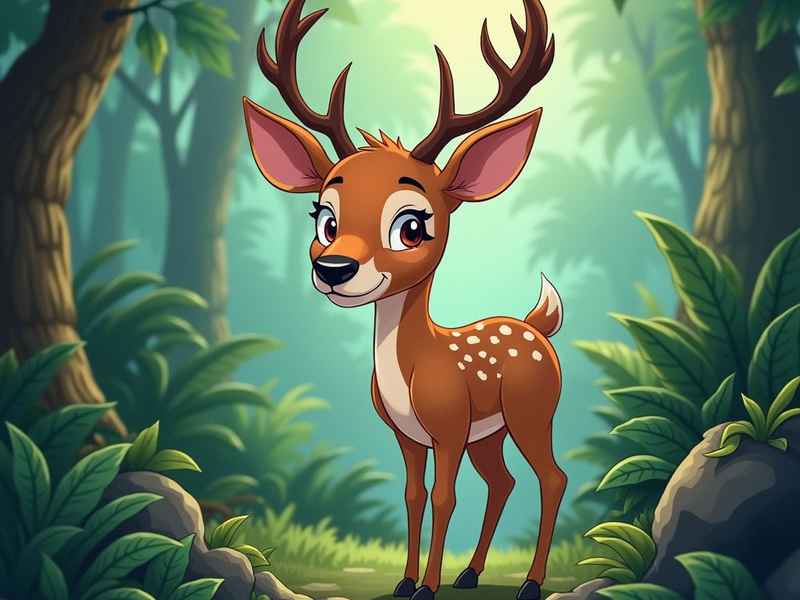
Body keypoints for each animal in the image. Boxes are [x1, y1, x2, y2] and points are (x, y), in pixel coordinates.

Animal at [243, 1, 565, 599]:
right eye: (323, 217)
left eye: (412, 225)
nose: (333, 268)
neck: (414, 367)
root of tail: (538, 325)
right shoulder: (406, 435)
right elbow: (413, 497)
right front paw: (405, 581)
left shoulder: (450, 427)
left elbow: (444, 498)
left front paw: (426, 586)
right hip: (491, 433)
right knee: (504, 481)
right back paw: (470, 573)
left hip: (532, 410)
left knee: (552, 478)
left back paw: (530, 583)